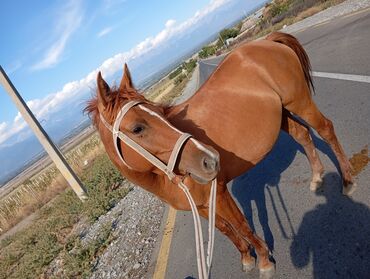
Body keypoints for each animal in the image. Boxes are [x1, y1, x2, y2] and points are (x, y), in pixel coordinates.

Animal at [85, 32, 354, 278]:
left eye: (160, 111)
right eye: (137, 128)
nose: (209, 159)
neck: (166, 178)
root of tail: (266, 41)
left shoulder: (221, 192)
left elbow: (242, 225)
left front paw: (264, 260)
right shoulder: (203, 206)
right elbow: (226, 229)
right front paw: (247, 257)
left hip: (299, 102)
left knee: (326, 130)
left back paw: (348, 181)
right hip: (282, 115)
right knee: (303, 135)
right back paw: (317, 177)